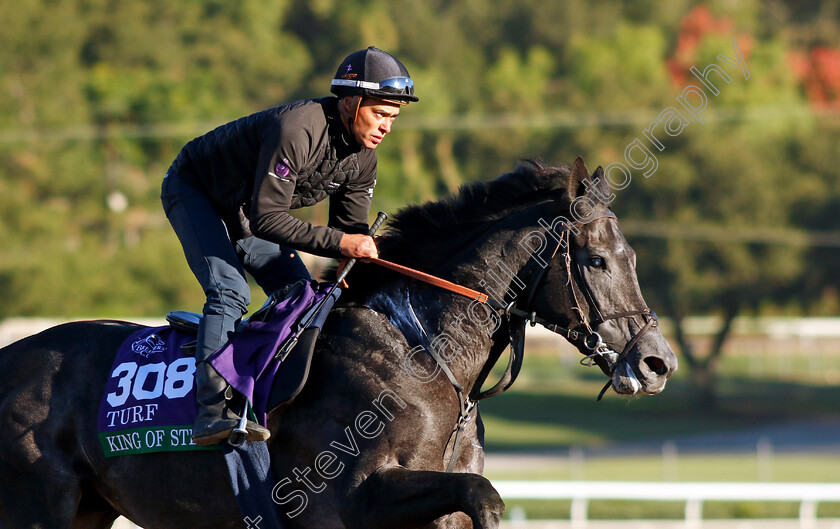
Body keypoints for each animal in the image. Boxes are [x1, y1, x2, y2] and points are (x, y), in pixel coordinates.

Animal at [0, 158, 676, 528]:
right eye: (595, 260)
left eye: (631, 256)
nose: (656, 361)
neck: (420, 354)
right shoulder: (347, 501)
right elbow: (483, 497)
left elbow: (476, 496)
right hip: (37, 507)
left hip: (88, 509)